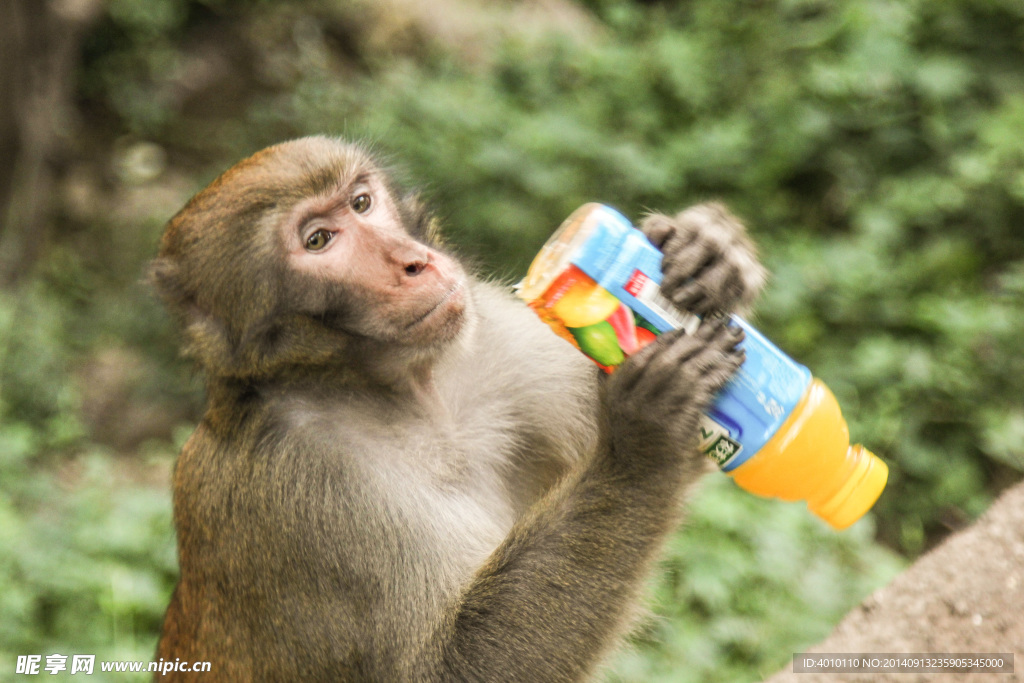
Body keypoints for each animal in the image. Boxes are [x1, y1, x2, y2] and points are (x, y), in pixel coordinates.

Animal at [149, 136, 761, 679]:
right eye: (319, 240)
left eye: (362, 203)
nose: (413, 263)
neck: (399, 393)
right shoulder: (292, 486)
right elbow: (451, 669)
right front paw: (644, 440)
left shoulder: (498, 339)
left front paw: (707, 253)